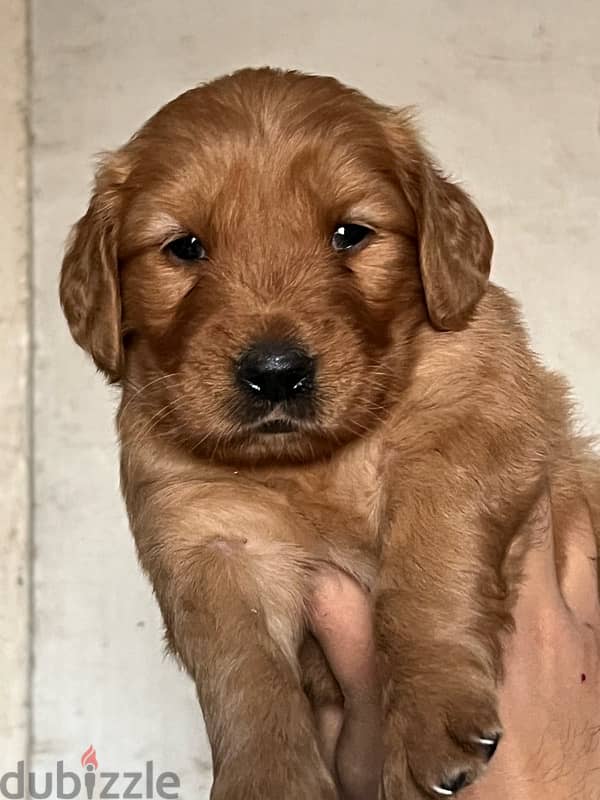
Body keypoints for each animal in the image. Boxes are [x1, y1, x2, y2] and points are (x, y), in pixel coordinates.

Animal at [58, 69, 596, 800]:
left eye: (350, 233)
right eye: (185, 247)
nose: (276, 374)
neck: (318, 464)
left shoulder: (478, 427)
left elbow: (428, 566)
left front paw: (428, 715)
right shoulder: (208, 539)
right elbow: (242, 676)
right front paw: (268, 781)